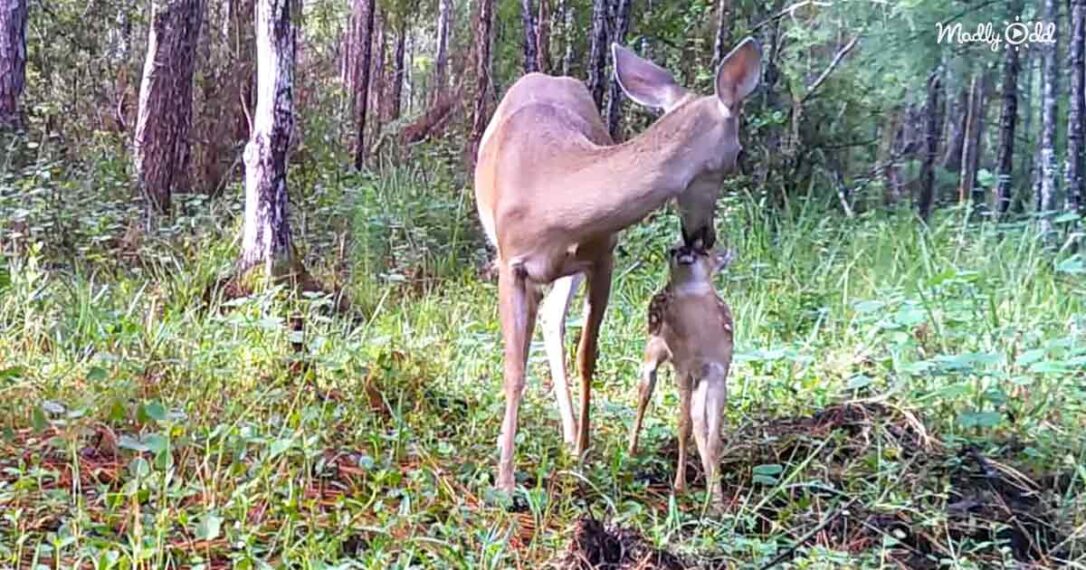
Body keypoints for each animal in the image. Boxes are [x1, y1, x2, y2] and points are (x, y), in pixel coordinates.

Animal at [628, 244, 735, 509]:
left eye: (705, 251)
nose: (679, 250)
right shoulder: (683, 368)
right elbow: (683, 425)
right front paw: (680, 487)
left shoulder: (718, 372)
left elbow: (712, 436)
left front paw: (717, 501)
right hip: (653, 348)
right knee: (645, 390)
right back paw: (632, 449)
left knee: (697, 419)